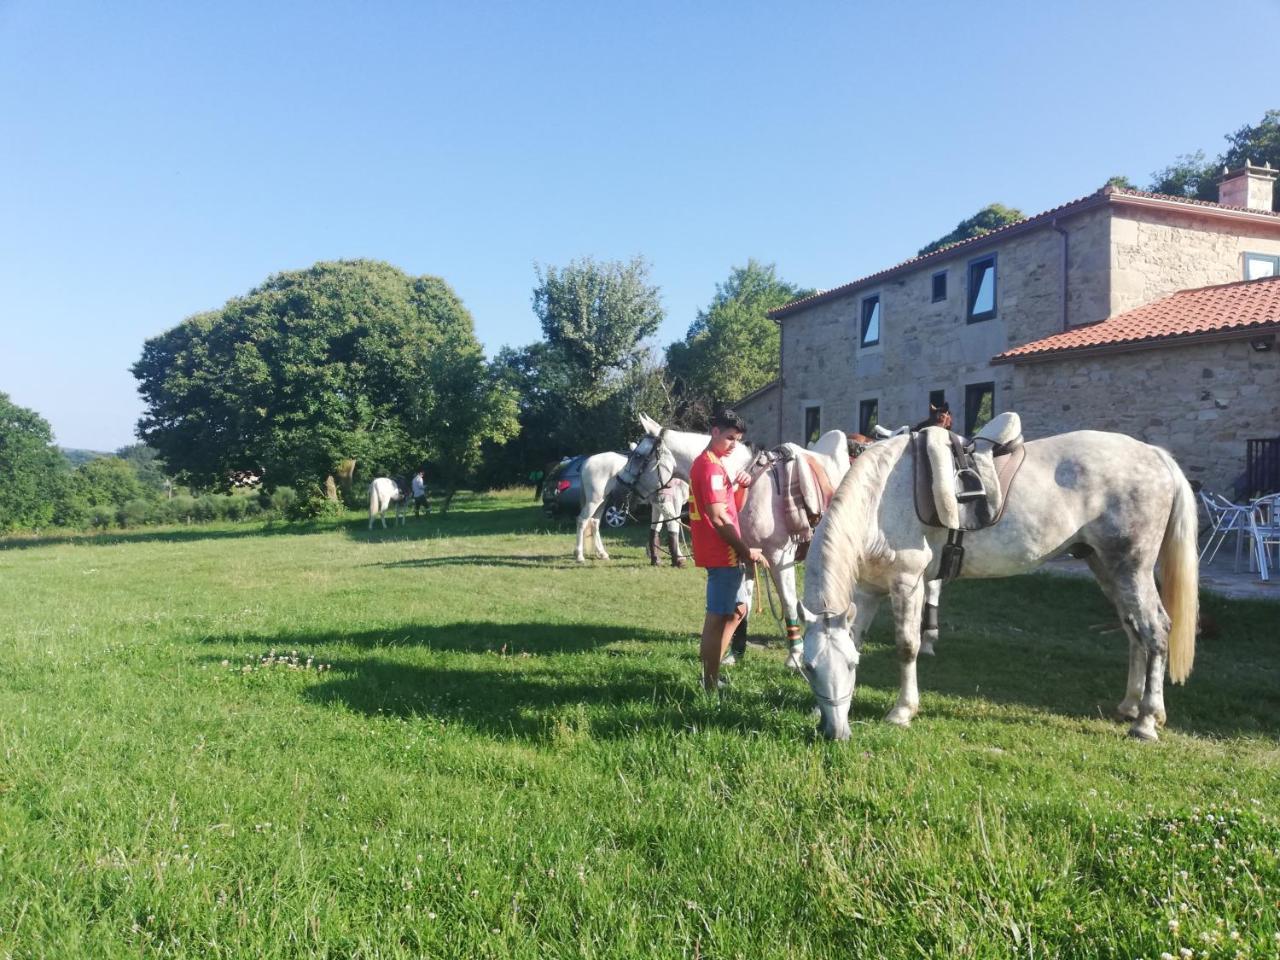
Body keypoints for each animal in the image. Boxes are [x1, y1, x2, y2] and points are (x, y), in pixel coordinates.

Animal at [798, 430, 1198, 742]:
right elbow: (856, 637)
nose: (836, 732)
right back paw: (1132, 705)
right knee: (1134, 633)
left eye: (850, 667)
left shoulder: (907, 582)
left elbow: (907, 647)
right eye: (809, 667)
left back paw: (1145, 722)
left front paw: (902, 711)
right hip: (1107, 568)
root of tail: (1155, 455)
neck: (880, 496)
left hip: (1131, 568)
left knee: (1156, 630)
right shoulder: (868, 591)